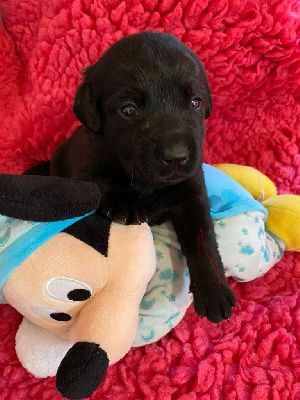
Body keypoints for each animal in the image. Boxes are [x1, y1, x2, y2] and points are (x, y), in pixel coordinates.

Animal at [30, 31, 237, 324]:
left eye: (195, 102)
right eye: (128, 110)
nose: (177, 156)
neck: (149, 184)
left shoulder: (192, 192)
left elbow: (204, 240)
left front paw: (214, 290)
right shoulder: (87, 170)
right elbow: (105, 180)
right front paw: (124, 201)